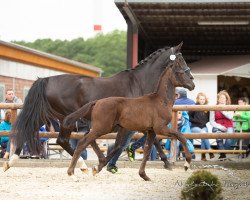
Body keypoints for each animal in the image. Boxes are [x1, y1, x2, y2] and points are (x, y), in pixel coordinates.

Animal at [63, 48, 195, 181]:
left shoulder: (151, 130)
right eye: (182, 70)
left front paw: (144, 175)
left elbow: (147, 149)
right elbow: (181, 136)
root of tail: (97, 102)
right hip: (102, 128)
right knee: (82, 143)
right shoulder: (161, 128)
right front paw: (187, 163)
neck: (161, 100)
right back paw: (73, 173)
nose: (192, 84)